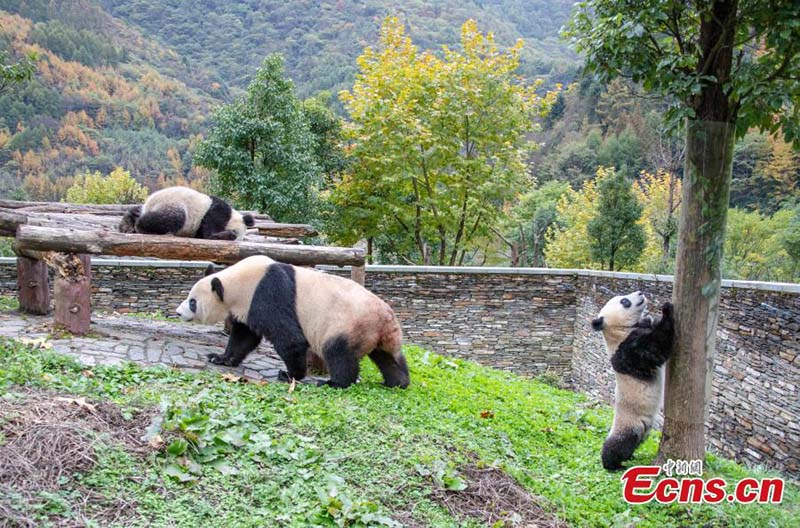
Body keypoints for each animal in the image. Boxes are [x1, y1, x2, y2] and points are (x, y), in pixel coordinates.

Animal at [119, 187, 255, 240]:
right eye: (237, 233)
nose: (235, 236)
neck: (233, 216)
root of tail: (148, 205)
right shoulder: (217, 212)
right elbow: (209, 233)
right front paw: (228, 235)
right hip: (171, 204)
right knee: (174, 218)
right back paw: (140, 226)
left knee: (137, 211)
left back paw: (127, 224)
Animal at [177, 256, 410, 388]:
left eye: (192, 302)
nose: (178, 312)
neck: (237, 280)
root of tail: (385, 319)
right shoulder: (247, 305)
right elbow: (244, 336)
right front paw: (220, 358)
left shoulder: (267, 293)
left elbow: (289, 338)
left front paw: (290, 374)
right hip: (380, 334)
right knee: (389, 357)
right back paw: (397, 382)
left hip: (348, 324)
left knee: (339, 353)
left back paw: (333, 382)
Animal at [588, 292, 676, 470]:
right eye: (625, 301)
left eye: (623, 296)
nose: (640, 293)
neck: (618, 330)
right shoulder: (629, 351)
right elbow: (657, 347)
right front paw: (666, 309)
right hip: (627, 424)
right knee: (617, 445)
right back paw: (613, 464)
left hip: (644, 430)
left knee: (635, 443)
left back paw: (629, 457)